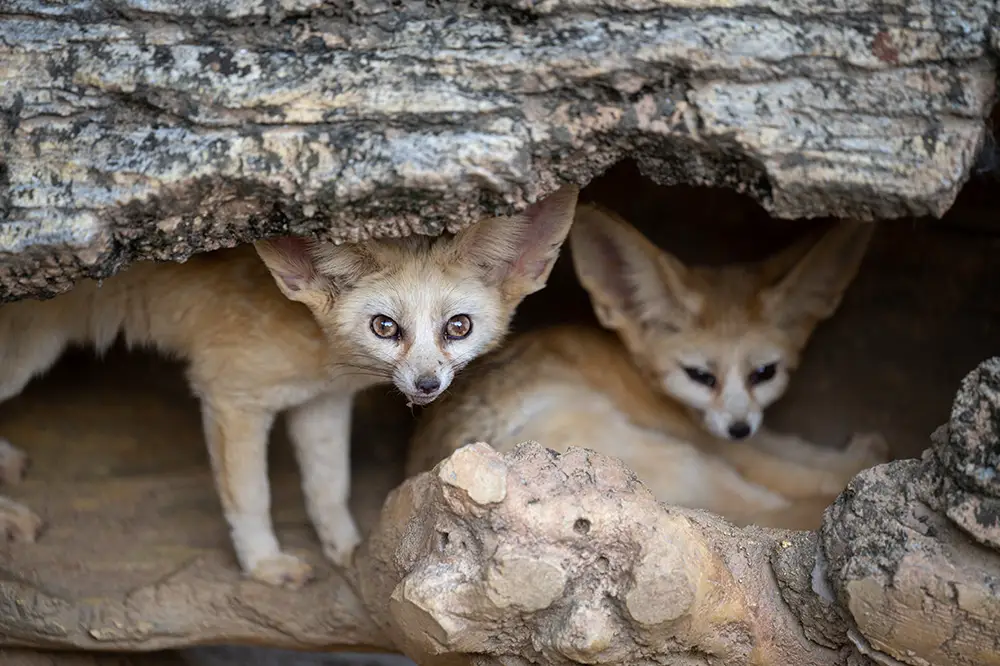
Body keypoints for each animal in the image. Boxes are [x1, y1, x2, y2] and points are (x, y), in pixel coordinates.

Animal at [0, 184, 580, 584]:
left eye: (458, 327)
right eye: (385, 327)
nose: (426, 383)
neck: (316, 349)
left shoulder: (321, 404)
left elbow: (328, 489)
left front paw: (350, 550)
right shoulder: (230, 398)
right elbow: (250, 496)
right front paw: (264, 563)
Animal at [406, 205, 892, 528]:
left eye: (765, 373)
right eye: (700, 376)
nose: (738, 428)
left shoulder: (741, 432)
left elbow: (795, 449)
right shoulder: (715, 443)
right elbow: (798, 470)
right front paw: (857, 466)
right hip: (688, 459)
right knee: (766, 508)